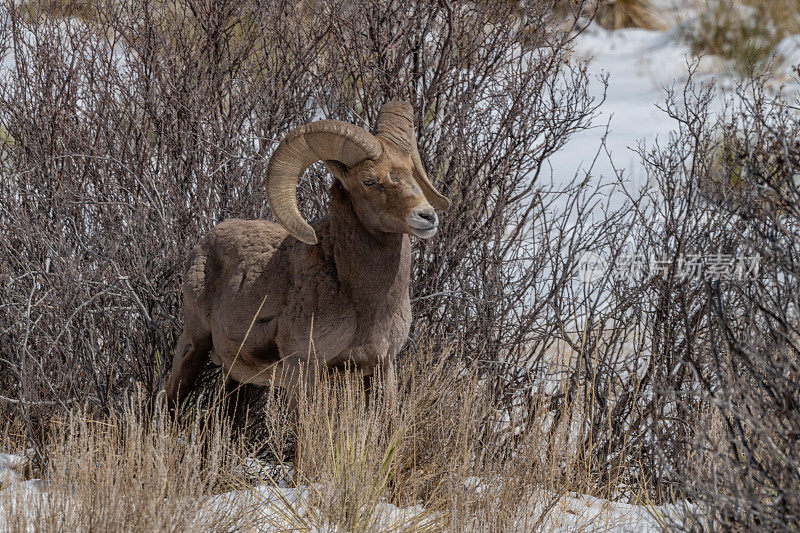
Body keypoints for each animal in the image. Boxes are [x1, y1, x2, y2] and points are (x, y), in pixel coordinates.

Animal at [164, 102, 450, 412]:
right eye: (369, 180)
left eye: (411, 171)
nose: (427, 216)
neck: (365, 302)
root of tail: (203, 244)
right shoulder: (303, 368)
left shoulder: (382, 366)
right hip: (193, 344)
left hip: (237, 379)